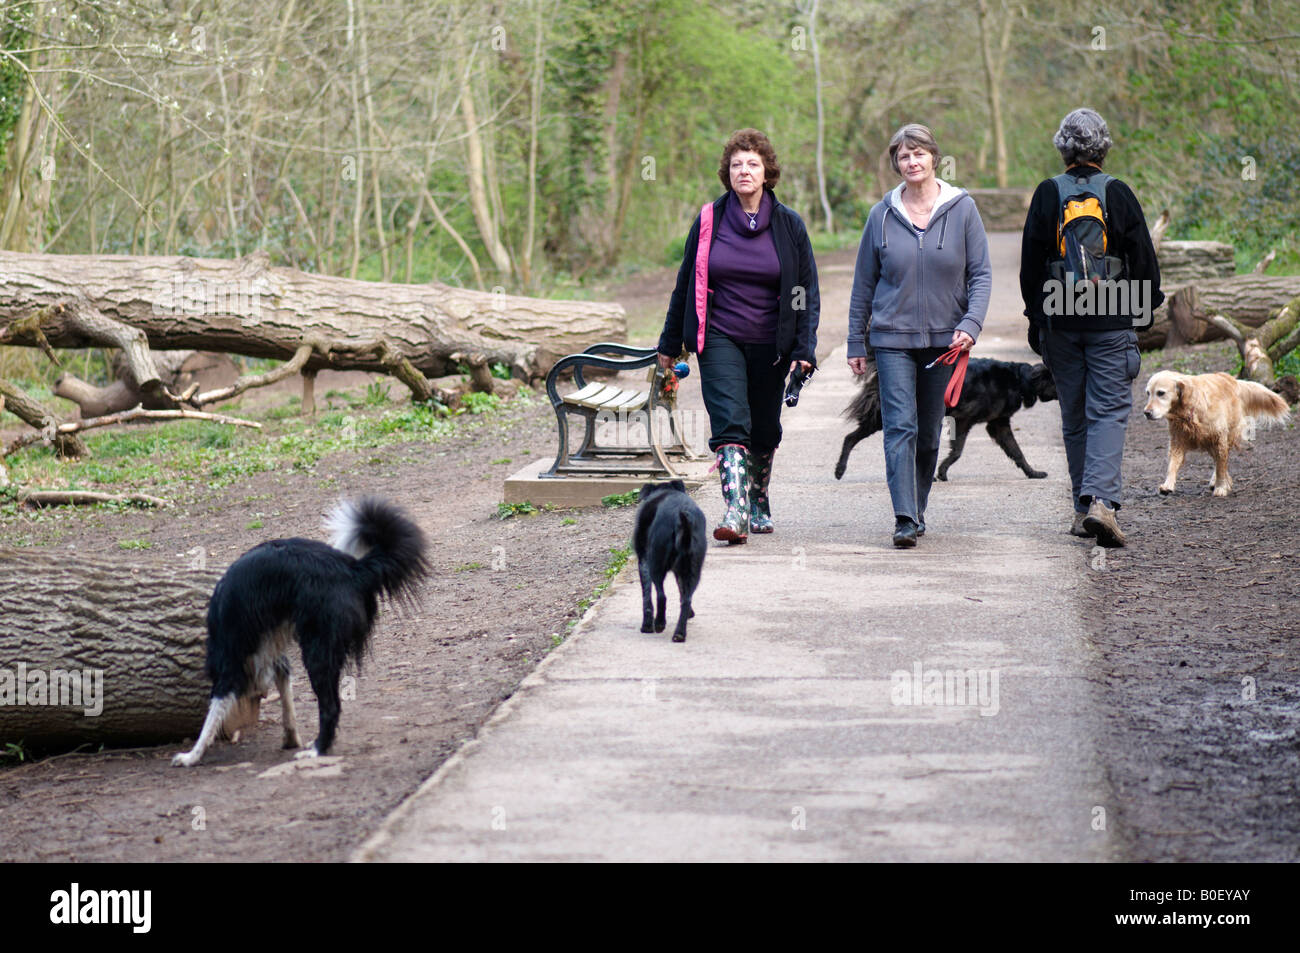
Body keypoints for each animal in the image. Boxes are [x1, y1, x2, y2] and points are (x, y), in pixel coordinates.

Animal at [634, 478, 707, 642]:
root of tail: (681, 522)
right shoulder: (680, 572)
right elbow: (681, 593)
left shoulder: (643, 561)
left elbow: (646, 597)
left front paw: (646, 626)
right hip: (693, 570)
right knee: (686, 600)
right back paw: (679, 633)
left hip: (656, 564)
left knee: (662, 596)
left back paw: (659, 623)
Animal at [832, 356, 1055, 478]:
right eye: (1054, 380)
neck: (1017, 380)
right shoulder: (964, 419)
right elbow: (957, 451)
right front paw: (942, 471)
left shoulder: (999, 425)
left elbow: (1017, 452)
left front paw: (1033, 473)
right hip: (880, 417)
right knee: (850, 438)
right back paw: (840, 469)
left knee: (851, 437)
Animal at [1144, 369, 1284, 494]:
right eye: (1148, 393)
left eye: (1160, 393)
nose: (1146, 413)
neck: (1188, 410)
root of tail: (1233, 380)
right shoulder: (1178, 440)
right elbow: (1173, 464)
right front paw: (1168, 485)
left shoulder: (1219, 438)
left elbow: (1221, 466)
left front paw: (1221, 487)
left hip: (1227, 435)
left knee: (1221, 460)